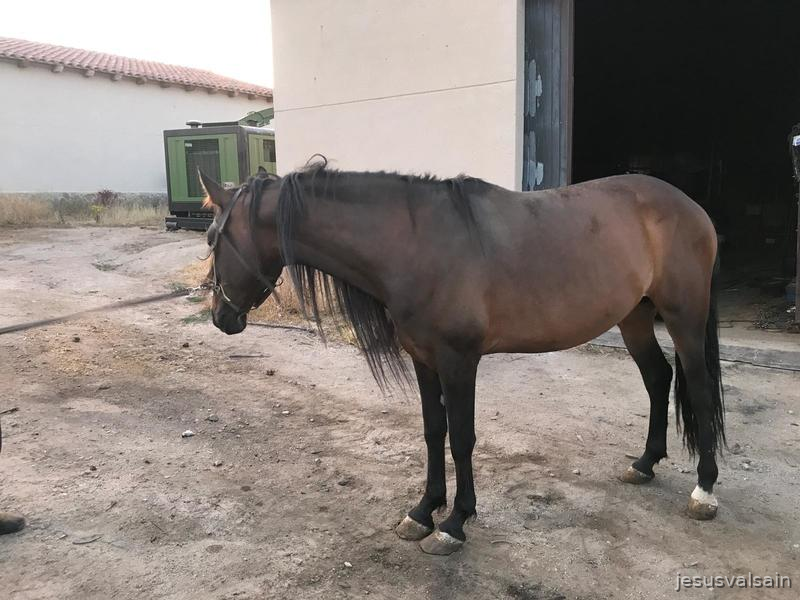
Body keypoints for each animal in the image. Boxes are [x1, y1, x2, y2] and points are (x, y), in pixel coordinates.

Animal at [200, 160, 725, 555]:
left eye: (210, 238)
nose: (220, 316)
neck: (416, 244)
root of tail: (691, 207)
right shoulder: (423, 358)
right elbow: (434, 432)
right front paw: (422, 511)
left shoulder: (459, 361)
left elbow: (462, 438)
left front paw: (455, 523)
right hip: (634, 317)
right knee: (658, 379)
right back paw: (645, 463)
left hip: (684, 317)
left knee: (697, 389)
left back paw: (704, 490)